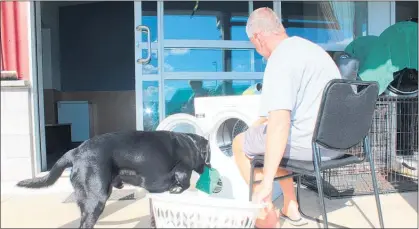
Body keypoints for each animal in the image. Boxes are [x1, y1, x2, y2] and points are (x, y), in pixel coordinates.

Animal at [16, 130, 217, 228]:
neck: (191, 144)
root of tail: (75, 151)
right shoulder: (183, 167)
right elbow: (184, 177)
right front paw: (178, 187)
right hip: (96, 199)